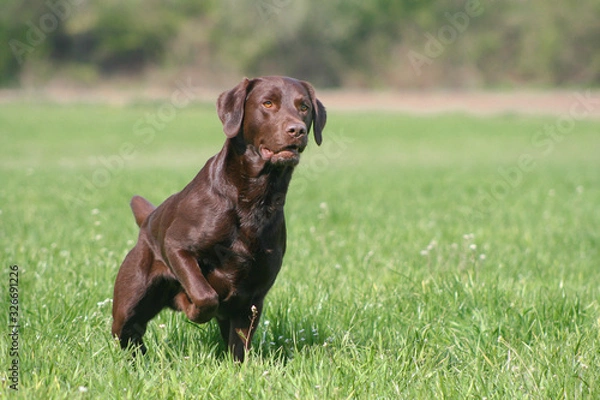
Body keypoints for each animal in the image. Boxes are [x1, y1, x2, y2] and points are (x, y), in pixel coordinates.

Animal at [112, 76, 328, 360]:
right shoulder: (177, 247)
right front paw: (191, 306)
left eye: (304, 107)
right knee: (127, 331)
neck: (255, 197)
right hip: (130, 298)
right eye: (267, 103)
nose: (298, 130)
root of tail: (148, 220)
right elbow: (205, 295)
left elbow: (240, 344)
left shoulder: (253, 295)